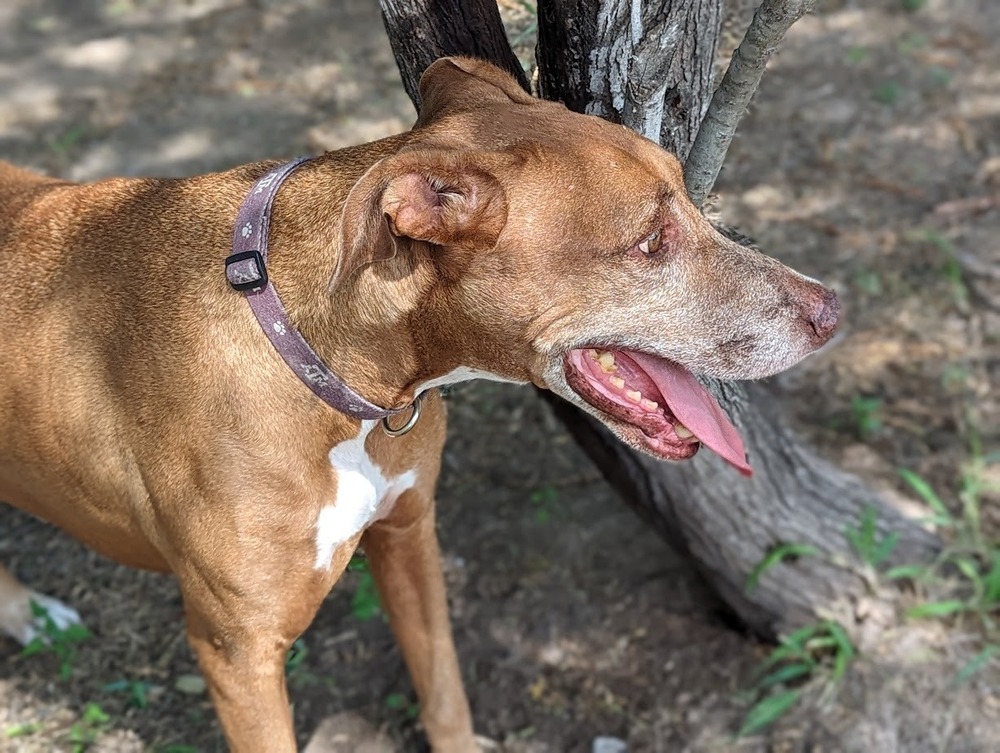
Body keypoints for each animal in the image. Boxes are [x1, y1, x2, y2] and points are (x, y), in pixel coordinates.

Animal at [0, 60, 840, 752]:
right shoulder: (239, 653)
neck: (336, 375)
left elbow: (443, 689)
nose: (831, 309)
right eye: (650, 241)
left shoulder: (409, 536)